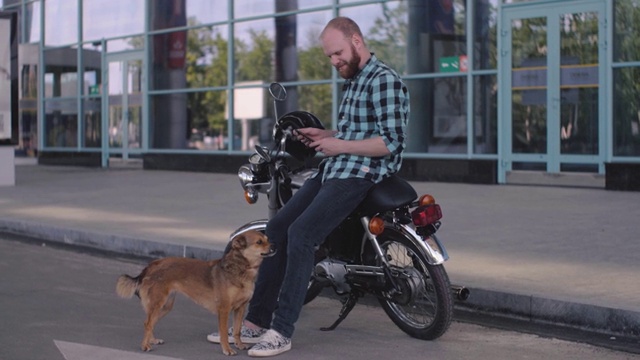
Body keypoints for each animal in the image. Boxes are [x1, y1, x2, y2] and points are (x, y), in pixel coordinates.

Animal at [115, 232, 272, 356]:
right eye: (259, 242)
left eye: (267, 239)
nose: (274, 246)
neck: (241, 268)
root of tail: (151, 265)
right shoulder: (224, 309)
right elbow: (224, 333)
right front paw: (227, 349)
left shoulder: (240, 308)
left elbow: (237, 331)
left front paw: (239, 344)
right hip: (158, 303)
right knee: (148, 323)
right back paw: (145, 345)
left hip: (165, 306)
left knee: (149, 323)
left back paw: (152, 340)